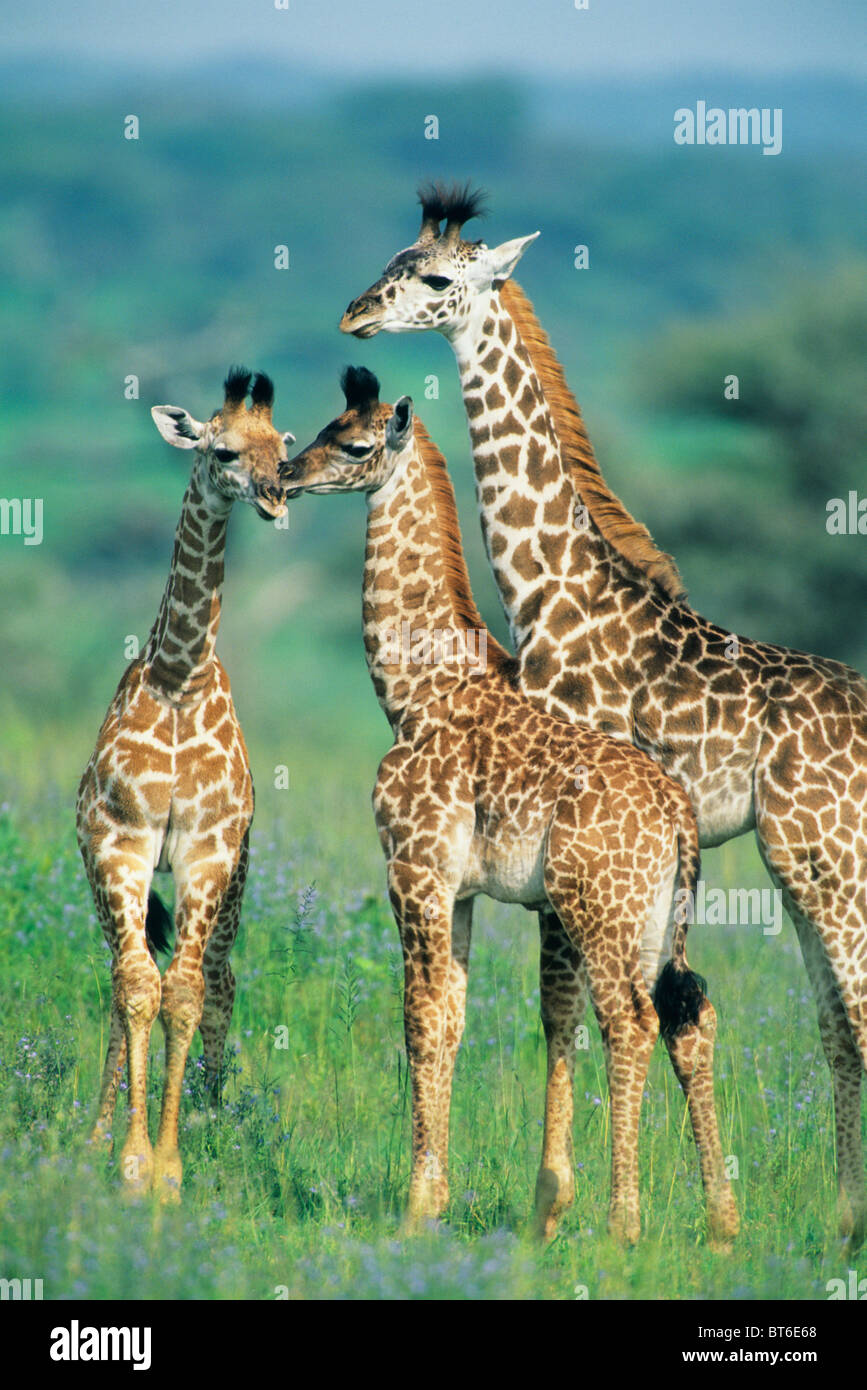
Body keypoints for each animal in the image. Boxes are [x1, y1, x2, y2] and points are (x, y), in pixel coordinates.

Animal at [75, 366, 291, 1195]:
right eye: (222, 450)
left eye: (283, 450)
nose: (275, 496)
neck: (178, 678)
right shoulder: (121, 844)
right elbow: (138, 987)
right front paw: (129, 1156)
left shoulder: (207, 851)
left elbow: (187, 992)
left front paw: (168, 1163)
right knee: (121, 974)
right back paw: (98, 1133)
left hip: (237, 880)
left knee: (220, 981)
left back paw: (214, 1110)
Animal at [279, 369, 739, 1251]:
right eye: (316, 428)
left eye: (352, 445)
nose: (283, 474)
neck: (412, 690)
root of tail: (676, 818)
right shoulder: (456, 889)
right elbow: (454, 1018)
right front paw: (438, 1197)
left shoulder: (413, 870)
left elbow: (419, 1017)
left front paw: (416, 1207)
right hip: (654, 917)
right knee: (685, 1016)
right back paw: (722, 1223)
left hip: (597, 908)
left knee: (628, 1022)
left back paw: (623, 1224)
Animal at [340, 182, 867, 1251]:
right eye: (391, 261)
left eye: (437, 279)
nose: (356, 316)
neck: (552, 595)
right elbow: (630, 1013)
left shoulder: (566, 843)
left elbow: (563, 1011)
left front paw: (557, 1207)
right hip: (798, 870)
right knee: (836, 1021)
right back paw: (843, 1221)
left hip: (825, 862)